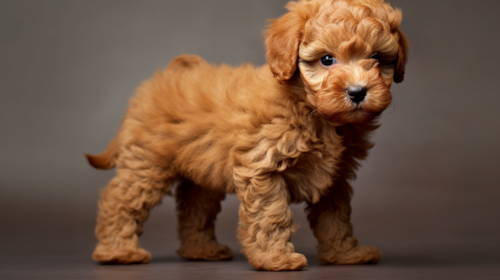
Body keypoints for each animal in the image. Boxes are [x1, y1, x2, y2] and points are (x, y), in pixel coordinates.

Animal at [85, 0, 406, 272]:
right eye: (327, 60)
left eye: (376, 58)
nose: (358, 91)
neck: (310, 108)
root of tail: (167, 74)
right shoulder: (263, 166)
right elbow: (271, 215)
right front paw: (277, 260)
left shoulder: (334, 179)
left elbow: (336, 218)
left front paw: (345, 255)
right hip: (148, 162)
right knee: (121, 200)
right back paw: (118, 252)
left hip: (202, 170)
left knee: (195, 206)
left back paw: (201, 251)